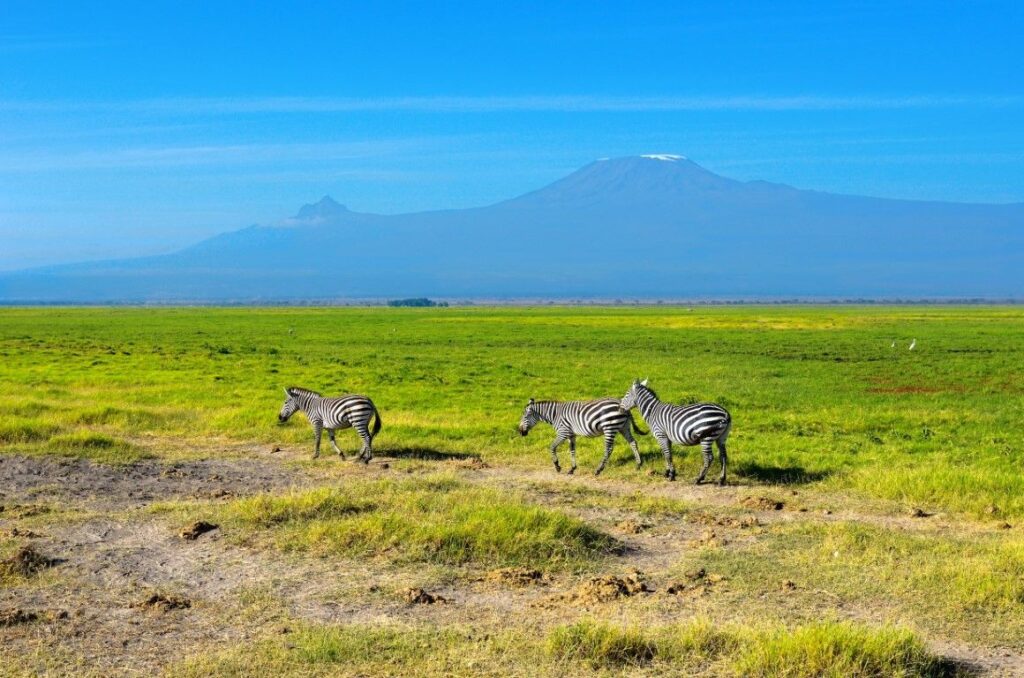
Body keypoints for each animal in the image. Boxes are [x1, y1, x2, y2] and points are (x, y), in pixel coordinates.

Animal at [516, 399, 651, 477]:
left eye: (525, 417)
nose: (520, 432)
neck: (554, 415)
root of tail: (622, 404)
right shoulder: (571, 435)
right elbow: (572, 450)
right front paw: (572, 469)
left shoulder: (563, 432)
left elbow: (552, 447)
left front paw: (557, 466)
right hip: (624, 427)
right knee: (633, 443)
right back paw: (638, 464)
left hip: (609, 427)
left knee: (609, 449)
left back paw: (599, 470)